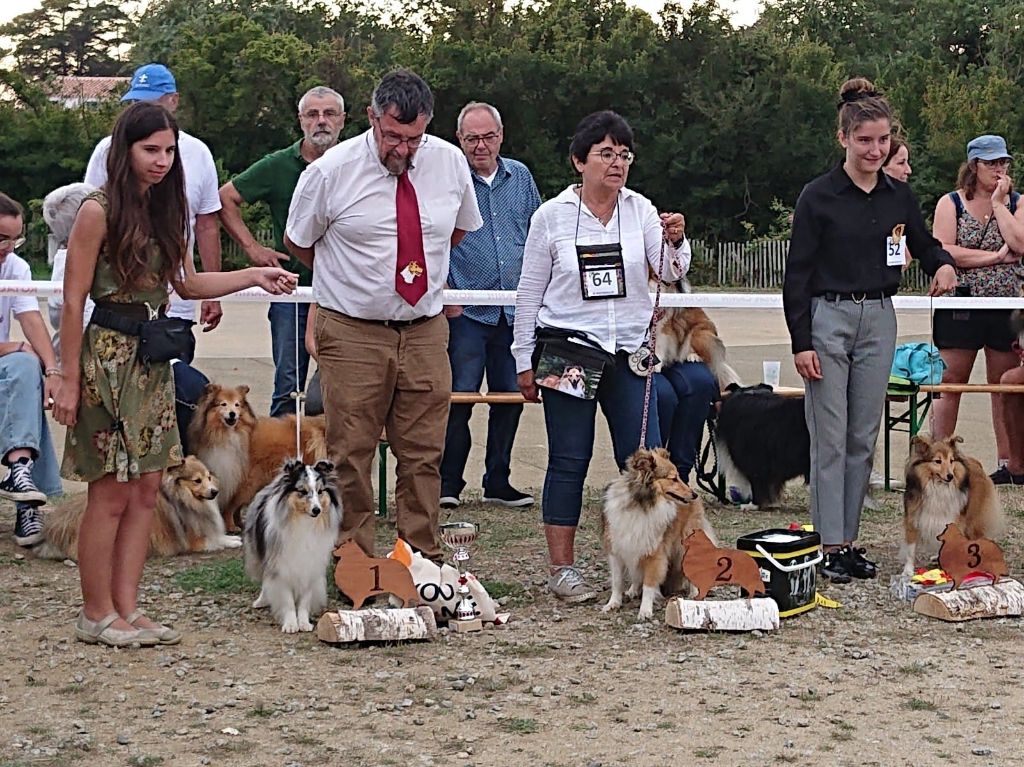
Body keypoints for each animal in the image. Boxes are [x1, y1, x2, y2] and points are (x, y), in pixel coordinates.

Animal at [244, 458, 342, 630]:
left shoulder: (310, 566)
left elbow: (304, 601)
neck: (303, 522)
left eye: (320, 491)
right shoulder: (281, 566)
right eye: (302, 491)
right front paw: (290, 625)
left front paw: (303, 623)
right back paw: (261, 601)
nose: (316, 510)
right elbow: (287, 600)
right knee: (265, 579)